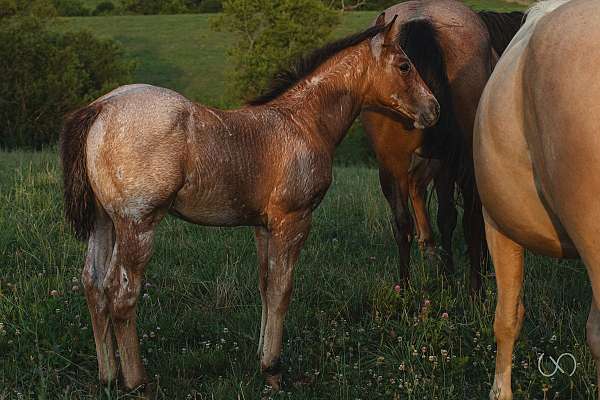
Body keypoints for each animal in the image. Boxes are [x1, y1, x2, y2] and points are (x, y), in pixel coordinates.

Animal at [61, 17, 438, 392]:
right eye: (404, 65)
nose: (433, 108)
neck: (304, 123)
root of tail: (101, 107)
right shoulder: (294, 220)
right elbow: (283, 289)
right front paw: (273, 368)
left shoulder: (262, 226)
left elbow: (265, 284)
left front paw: (261, 358)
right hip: (138, 224)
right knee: (122, 295)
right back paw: (137, 383)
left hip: (103, 221)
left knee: (94, 285)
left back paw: (108, 376)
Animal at [364, 0, 524, 290]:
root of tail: (418, 20)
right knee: (463, 219)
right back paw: (470, 287)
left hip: (392, 160)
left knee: (404, 222)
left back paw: (405, 286)